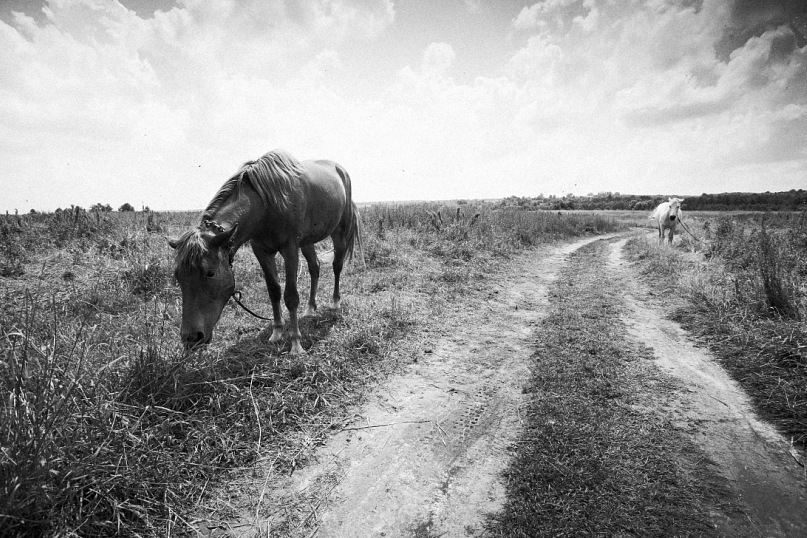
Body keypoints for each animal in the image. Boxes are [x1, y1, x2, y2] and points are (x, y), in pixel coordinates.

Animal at [169, 149, 362, 354]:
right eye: (178, 276)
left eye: (210, 272)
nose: (191, 338)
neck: (266, 205)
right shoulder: (261, 251)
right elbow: (274, 290)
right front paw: (277, 332)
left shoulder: (290, 249)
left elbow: (291, 296)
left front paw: (295, 343)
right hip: (307, 241)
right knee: (314, 267)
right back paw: (310, 308)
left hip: (339, 232)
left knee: (337, 266)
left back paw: (335, 303)